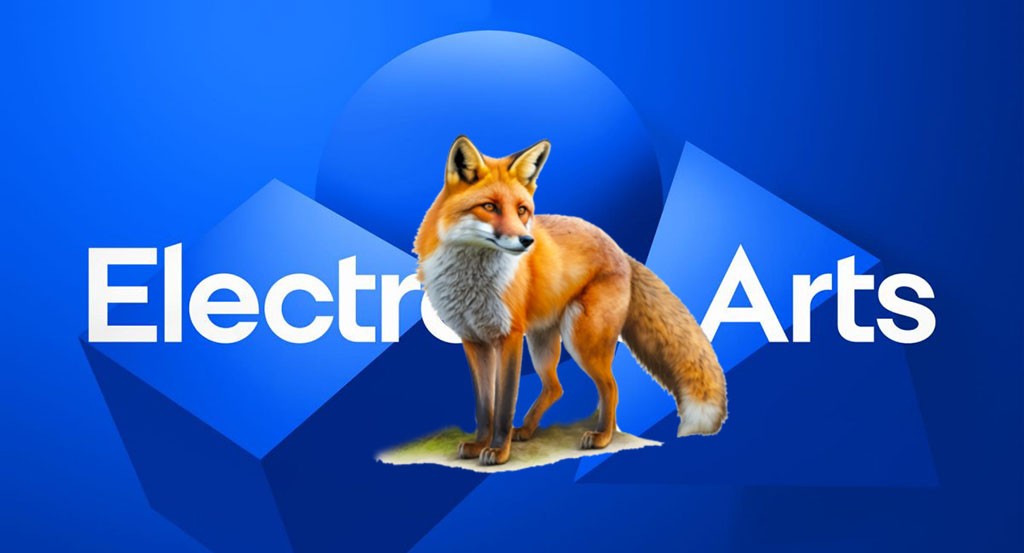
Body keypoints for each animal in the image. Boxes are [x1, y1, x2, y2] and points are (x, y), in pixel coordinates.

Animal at [414, 136, 727, 466]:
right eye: (489, 207)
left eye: (522, 210)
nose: (527, 241)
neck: (472, 281)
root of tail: (621, 251)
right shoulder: (474, 341)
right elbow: (485, 406)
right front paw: (479, 444)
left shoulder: (509, 337)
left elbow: (504, 405)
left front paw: (499, 451)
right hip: (542, 342)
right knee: (555, 387)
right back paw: (526, 430)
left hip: (582, 339)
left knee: (611, 386)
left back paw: (602, 437)